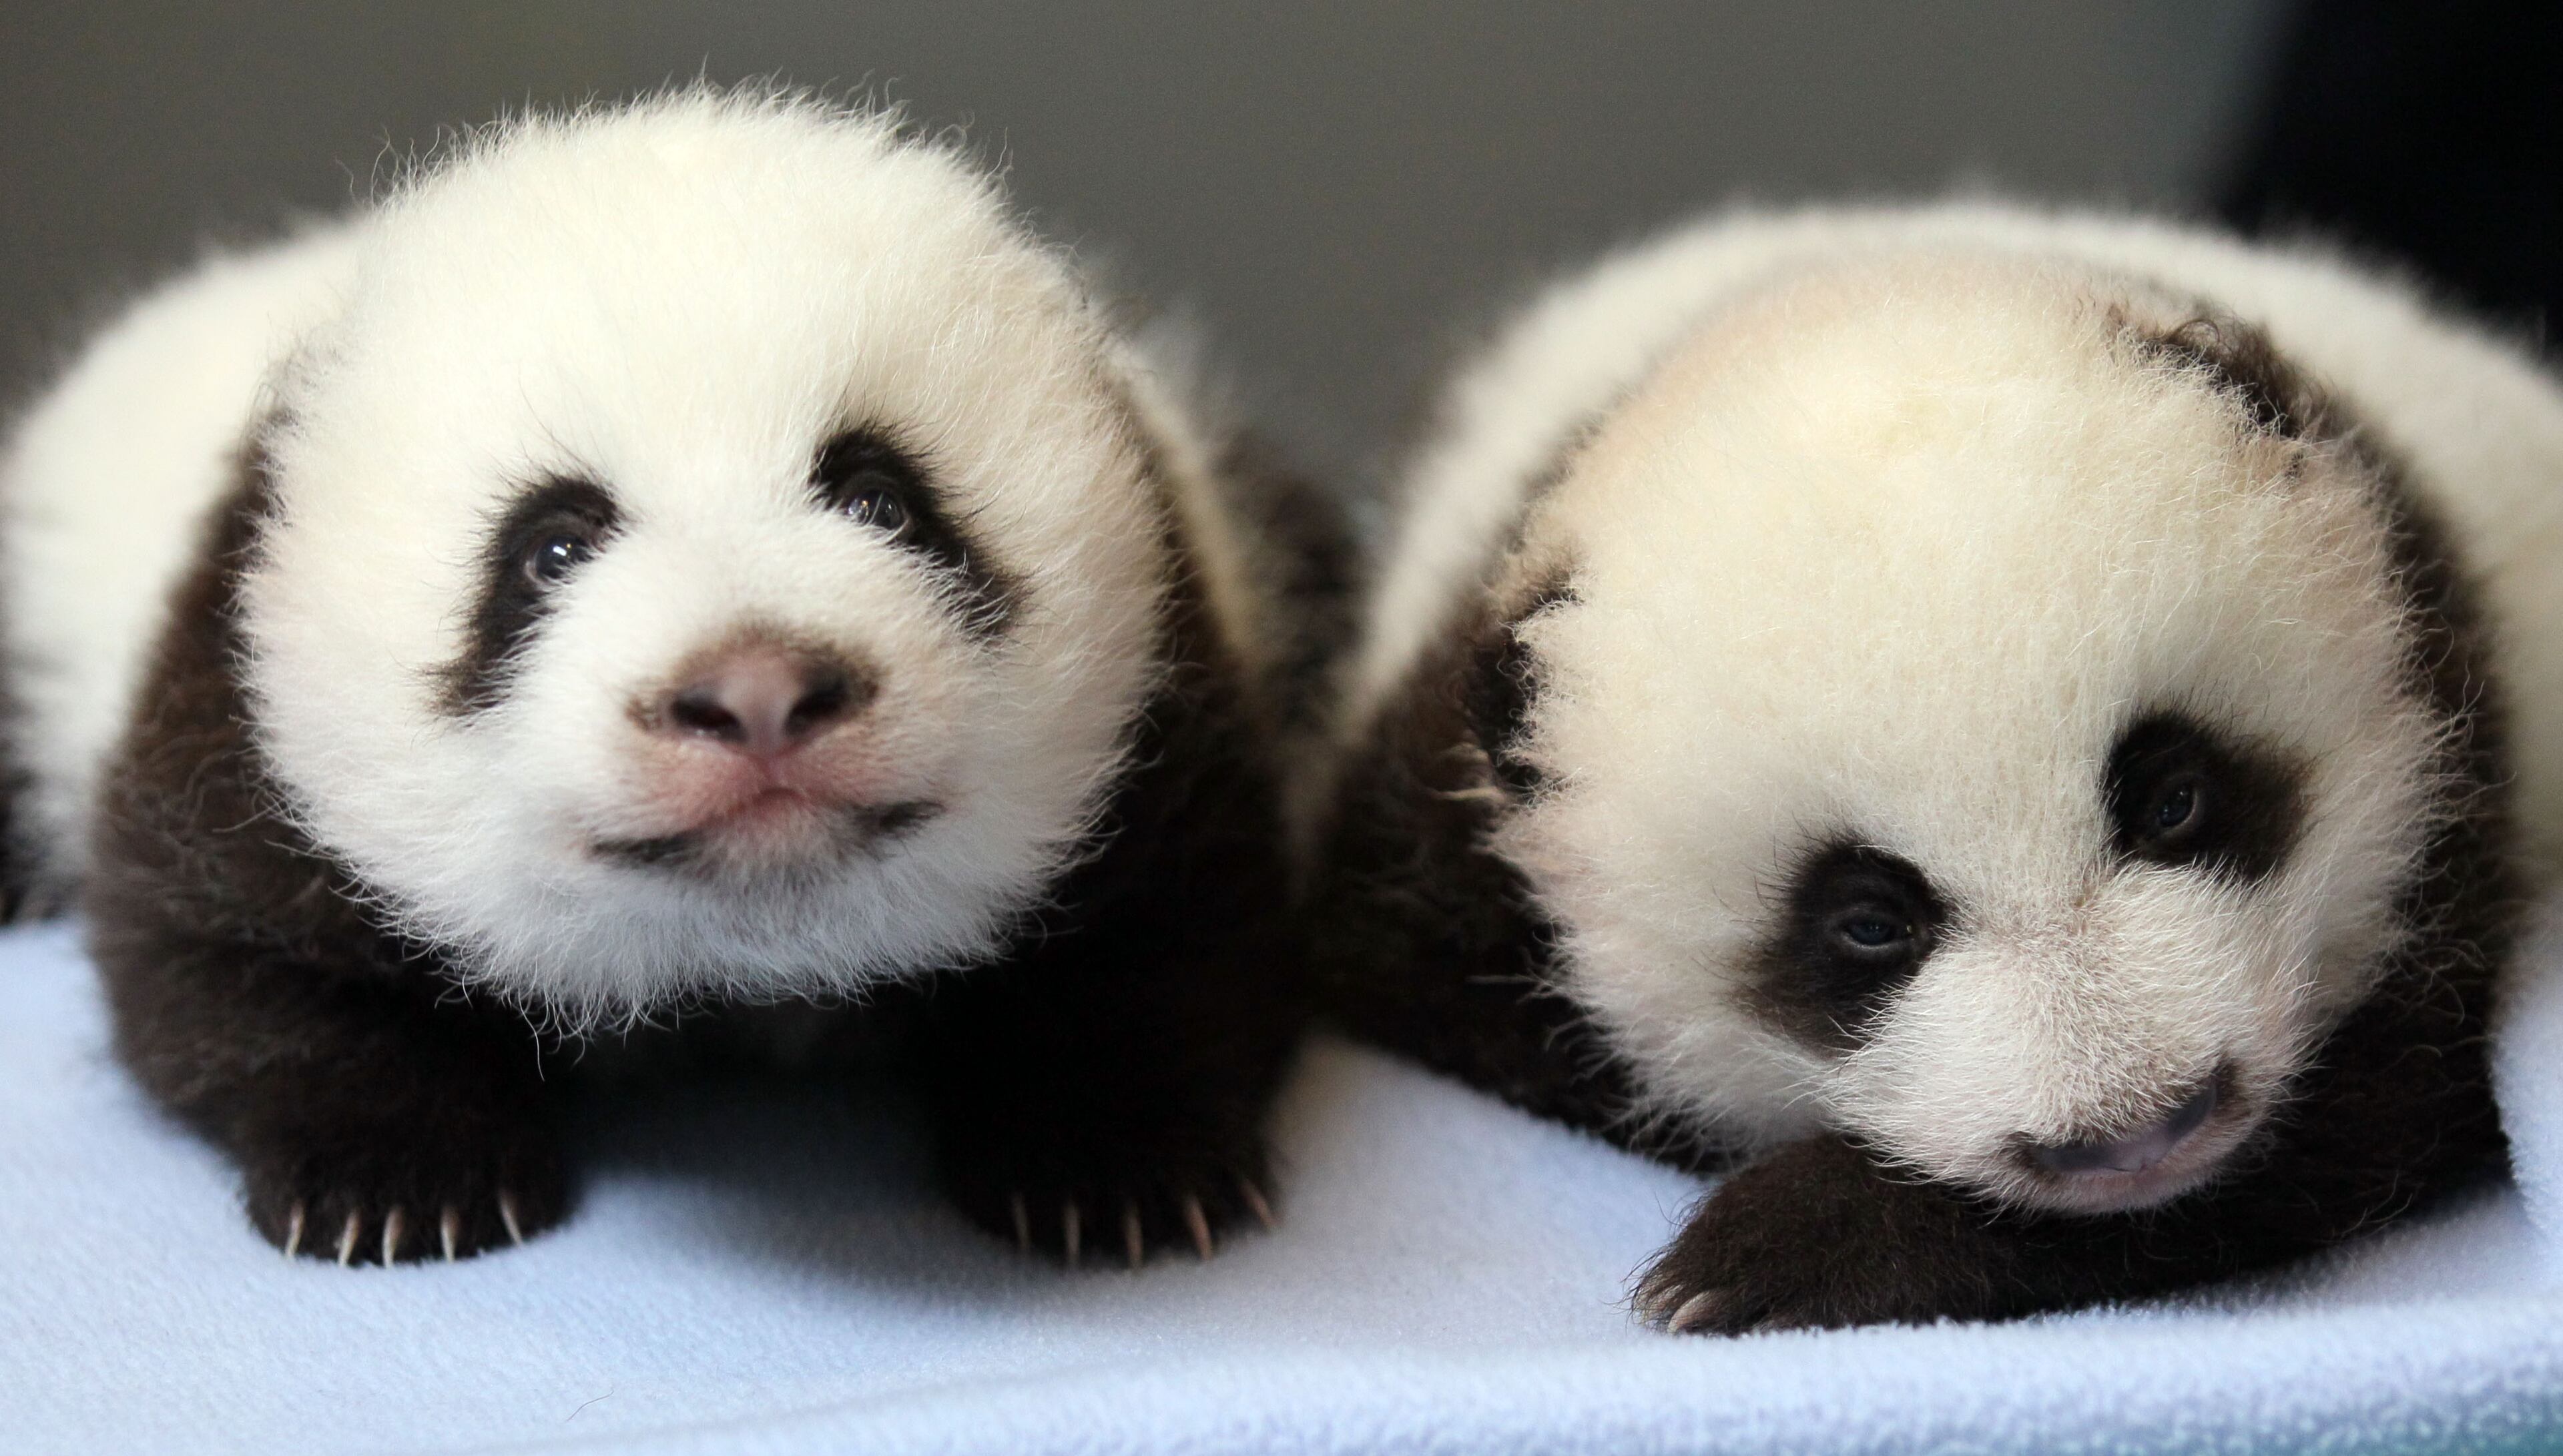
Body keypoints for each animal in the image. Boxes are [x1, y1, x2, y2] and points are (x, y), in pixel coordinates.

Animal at [0, 89, 1313, 1268]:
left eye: (883, 500)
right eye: (551, 547)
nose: (759, 693)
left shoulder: (1164, 667)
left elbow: (1173, 923)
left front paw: (1118, 1169)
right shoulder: (236, 695)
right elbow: (220, 953)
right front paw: (397, 1179)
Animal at [1309, 202, 2563, 1332]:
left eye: (2174, 799)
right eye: (1869, 922)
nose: (2137, 1133)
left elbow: (2368, 1107)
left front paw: (1776, 1248)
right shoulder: (1432, 836)